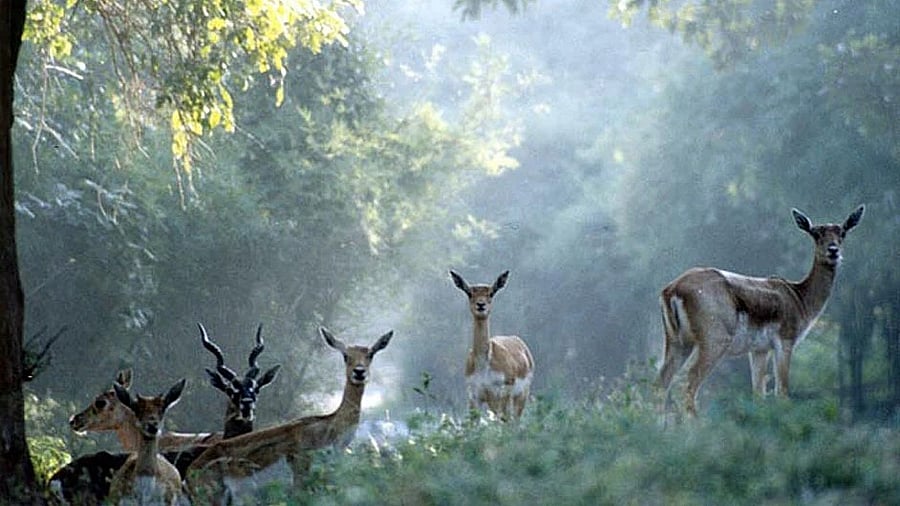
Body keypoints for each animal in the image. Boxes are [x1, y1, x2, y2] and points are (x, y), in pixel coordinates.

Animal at [185, 327, 394, 505]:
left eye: (370, 354)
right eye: (345, 355)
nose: (359, 372)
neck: (329, 426)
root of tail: (190, 471)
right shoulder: (300, 481)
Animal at [450, 269, 535, 420]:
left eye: (491, 293)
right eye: (469, 293)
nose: (481, 305)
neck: (484, 366)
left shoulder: (500, 393)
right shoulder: (474, 396)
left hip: (520, 395)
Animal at [657, 205, 865, 417]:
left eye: (842, 232)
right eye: (816, 233)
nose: (833, 250)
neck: (800, 299)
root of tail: (672, 290)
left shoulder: (759, 349)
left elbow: (758, 393)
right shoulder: (785, 340)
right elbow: (782, 392)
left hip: (678, 341)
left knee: (662, 380)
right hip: (714, 340)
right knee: (689, 380)